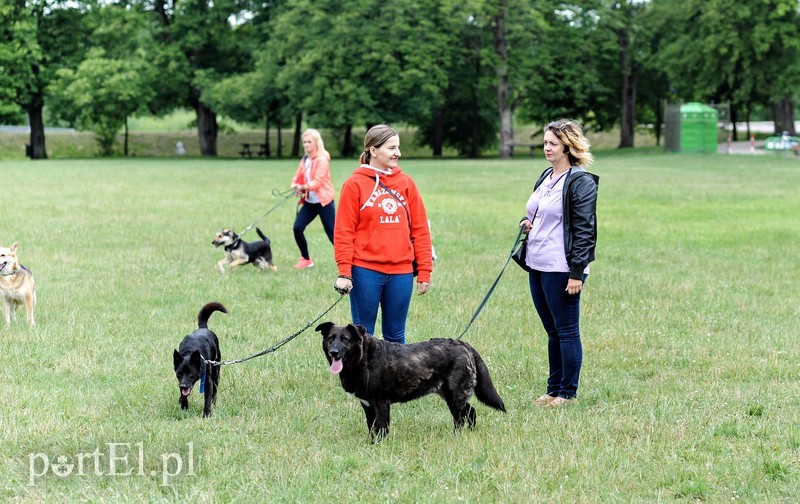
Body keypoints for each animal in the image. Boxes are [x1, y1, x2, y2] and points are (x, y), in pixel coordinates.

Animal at [314, 322, 506, 440]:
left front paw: (379, 447)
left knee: (460, 419)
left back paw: (456, 437)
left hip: (454, 396)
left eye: (345, 340)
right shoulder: (367, 405)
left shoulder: (381, 403)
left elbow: (381, 427)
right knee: (471, 412)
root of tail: (464, 345)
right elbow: (372, 427)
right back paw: (470, 433)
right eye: (330, 338)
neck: (364, 359)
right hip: (451, 395)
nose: (333, 352)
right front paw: (371, 444)